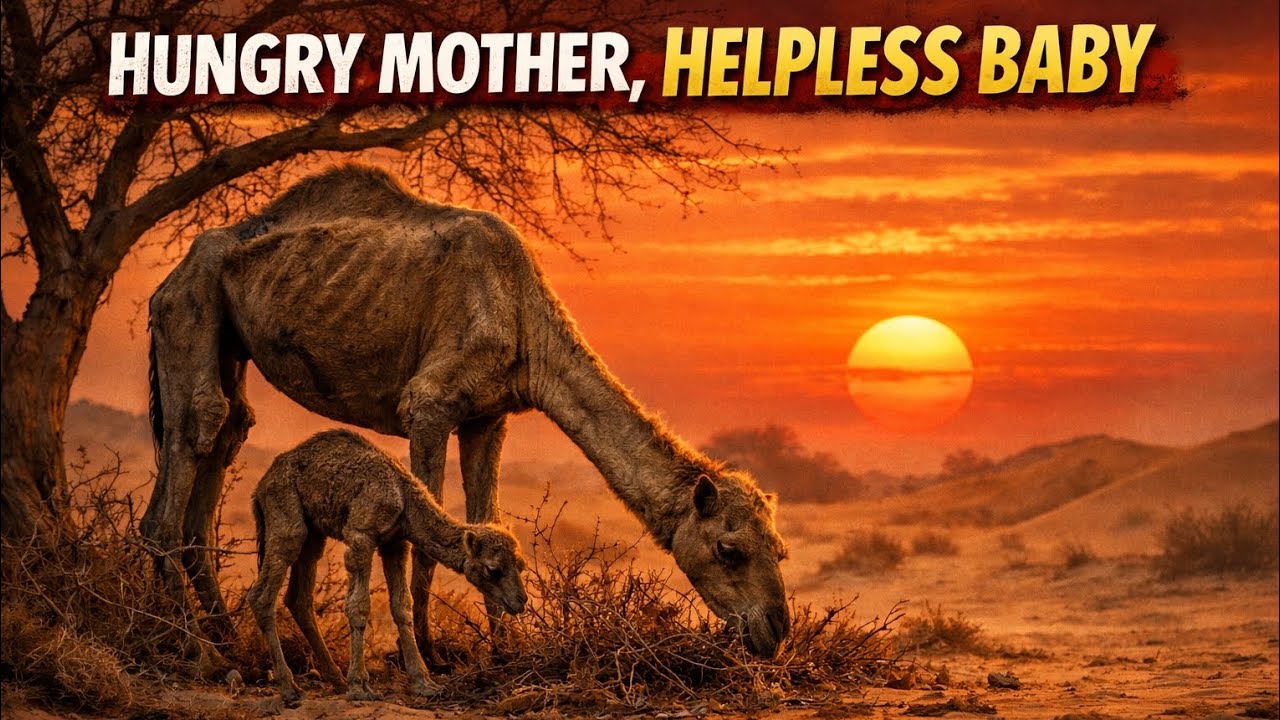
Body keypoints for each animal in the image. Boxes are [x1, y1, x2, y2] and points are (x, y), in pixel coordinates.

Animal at [139, 165, 790, 672]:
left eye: (779, 550)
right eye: (729, 549)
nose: (775, 631)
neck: (526, 325)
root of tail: (168, 278)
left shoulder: (488, 417)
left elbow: (486, 518)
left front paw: (506, 652)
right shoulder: (428, 404)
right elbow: (427, 537)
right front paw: (426, 656)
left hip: (228, 338)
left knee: (227, 436)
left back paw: (222, 639)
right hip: (190, 306)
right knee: (196, 433)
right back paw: (196, 652)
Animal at [248, 429, 527, 704]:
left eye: (521, 566)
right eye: (493, 570)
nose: (521, 600)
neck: (403, 497)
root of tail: (259, 487)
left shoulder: (396, 543)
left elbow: (403, 605)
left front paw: (424, 683)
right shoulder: (361, 535)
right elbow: (359, 606)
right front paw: (361, 687)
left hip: (313, 532)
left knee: (299, 596)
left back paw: (335, 680)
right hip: (285, 514)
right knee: (263, 593)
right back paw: (290, 688)